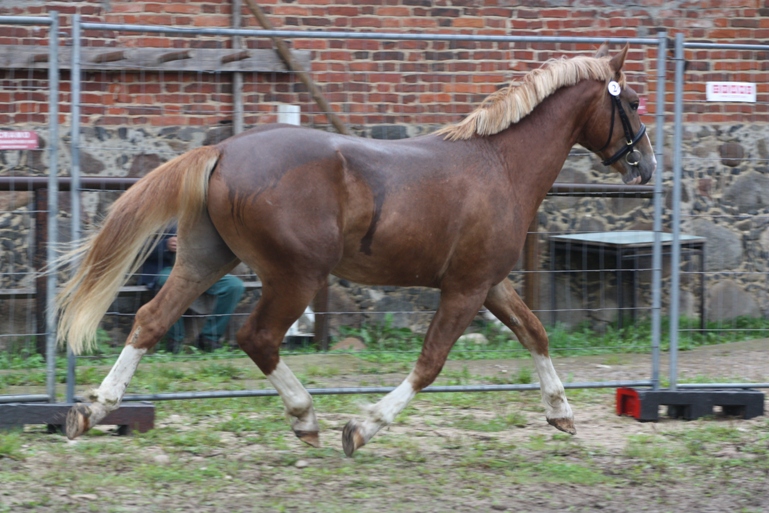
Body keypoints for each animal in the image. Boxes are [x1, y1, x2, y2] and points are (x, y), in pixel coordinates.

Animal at [57, 43, 656, 452]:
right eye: (633, 102)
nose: (646, 166)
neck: (500, 165)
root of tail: (223, 151)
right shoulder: (464, 289)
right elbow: (430, 363)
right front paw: (362, 427)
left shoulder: (489, 283)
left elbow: (535, 331)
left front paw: (562, 412)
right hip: (295, 276)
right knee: (256, 338)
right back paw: (305, 416)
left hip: (207, 258)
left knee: (152, 320)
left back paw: (93, 410)